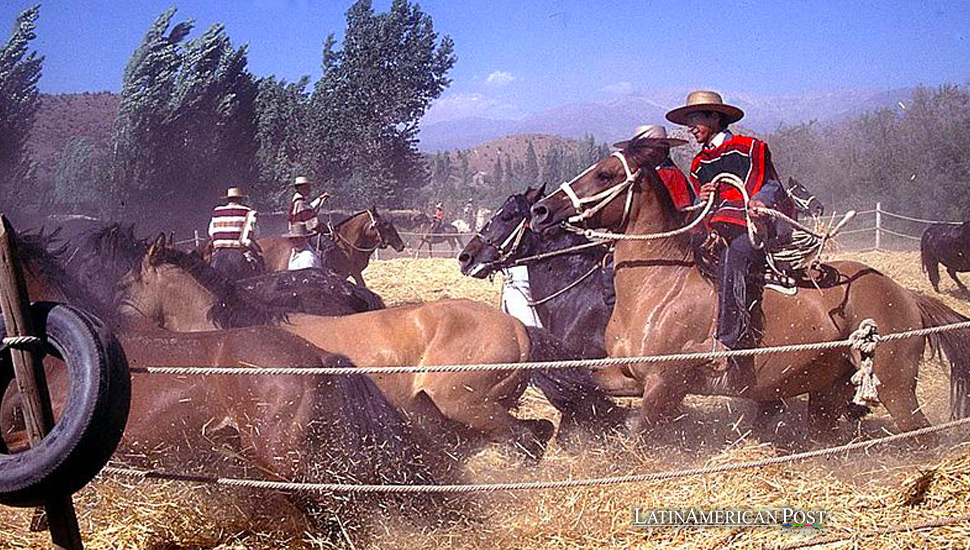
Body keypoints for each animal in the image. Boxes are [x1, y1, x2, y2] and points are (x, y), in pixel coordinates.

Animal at [524, 146, 968, 440]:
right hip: (830, 389)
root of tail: (905, 294)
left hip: (895, 386)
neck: (659, 287)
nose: (541, 211)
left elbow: (640, 432)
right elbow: (585, 383)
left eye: (604, 174)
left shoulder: (666, 382)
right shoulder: (628, 374)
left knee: (921, 435)